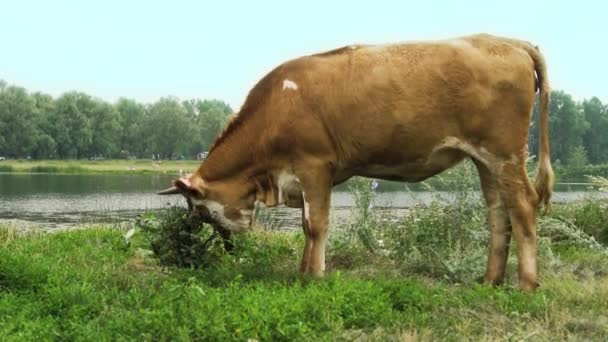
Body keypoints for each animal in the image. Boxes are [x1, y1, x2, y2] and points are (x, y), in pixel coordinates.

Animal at [159, 34, 552, 292]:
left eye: (200, 211)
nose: (229, 247)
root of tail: (507, 41)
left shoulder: (315, 165)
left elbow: (316, 224)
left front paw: (314, 276)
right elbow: (306, 225)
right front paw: (302, 271)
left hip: (505, 153)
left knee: (522, 206)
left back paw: (526, 284)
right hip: (485, 160)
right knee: (498, 213)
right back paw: (490, 280)